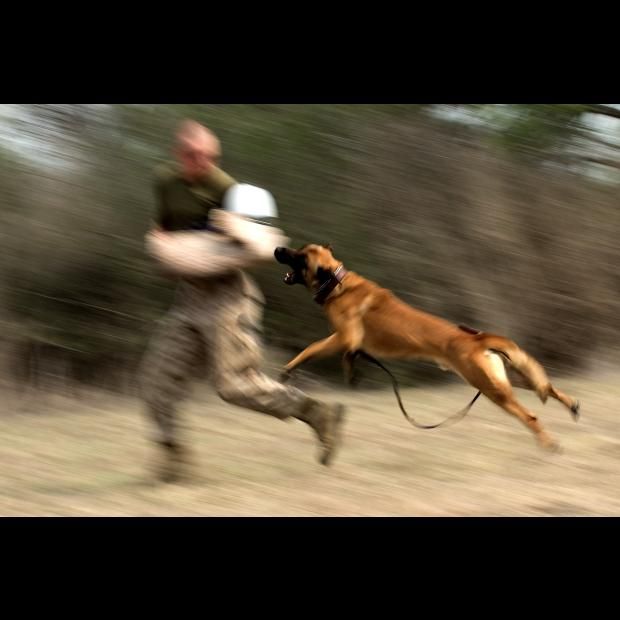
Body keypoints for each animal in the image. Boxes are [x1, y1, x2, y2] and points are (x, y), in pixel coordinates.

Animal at [274, 242, 580, 450]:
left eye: (300, 256)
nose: (278, 248)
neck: (337, 283)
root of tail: (478, 338)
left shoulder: (345, 337)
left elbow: (314, 349)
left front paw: (292, 371)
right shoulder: (342, 340)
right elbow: (321, 352)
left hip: (491, 388)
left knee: (531, 415)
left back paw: (548, 443)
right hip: (497, 380)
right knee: (546, 386)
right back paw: (572, 405)